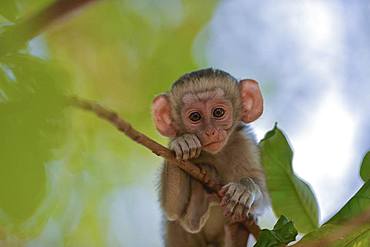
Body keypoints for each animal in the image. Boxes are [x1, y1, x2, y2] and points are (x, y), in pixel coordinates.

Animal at [152, 68, 268, 246]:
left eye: (218, 112)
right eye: (195, 117)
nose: (210, 132)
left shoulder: (246, 143)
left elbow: (265, 197)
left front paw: (244, 188)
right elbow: (172, 211)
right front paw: (182, 143)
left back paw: (236, 231)